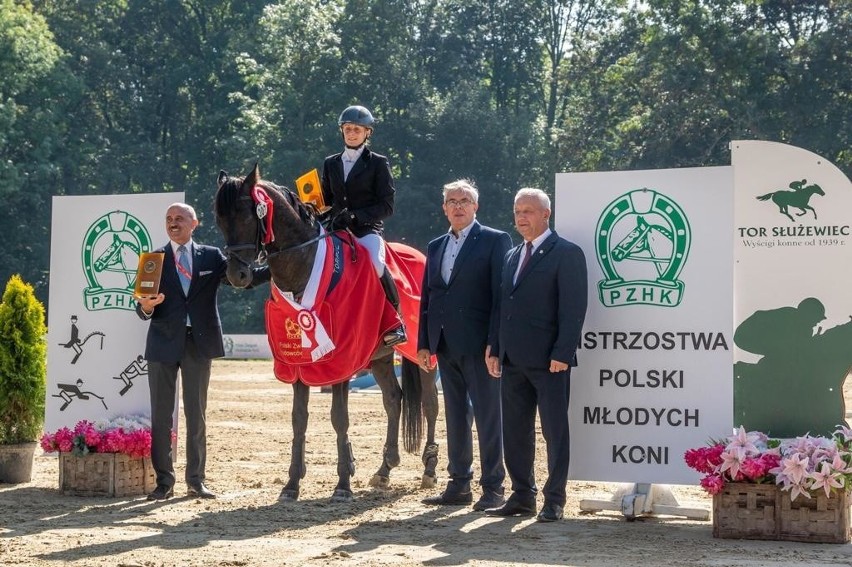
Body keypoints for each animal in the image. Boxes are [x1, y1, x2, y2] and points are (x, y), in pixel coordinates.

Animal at [213, 163, 440, 502]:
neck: (303, 265)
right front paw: (291, 484)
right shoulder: (298, 361)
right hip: (380, 355)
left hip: (422, 353)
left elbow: (339, 417)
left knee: (429, 402)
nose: (237, 275)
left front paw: (343, 483)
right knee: (393, 399)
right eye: (218, 219)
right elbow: (299, 418)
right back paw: (384, 469)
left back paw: (429, 469)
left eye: (245, 215)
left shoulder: (342, 358)